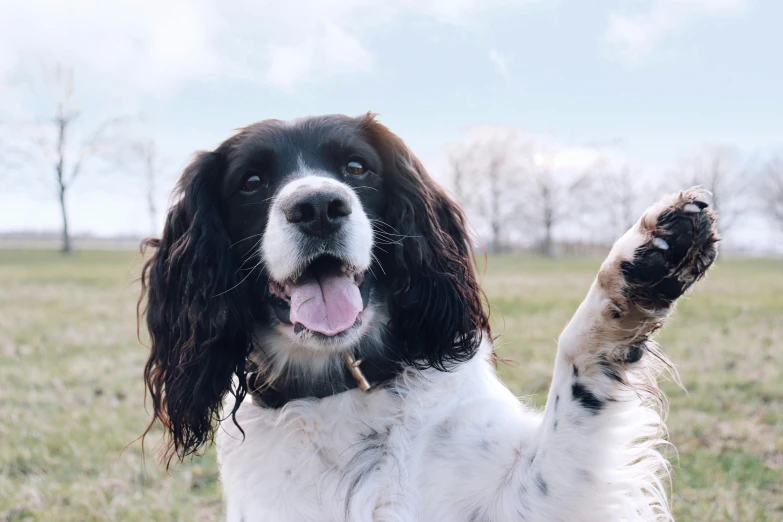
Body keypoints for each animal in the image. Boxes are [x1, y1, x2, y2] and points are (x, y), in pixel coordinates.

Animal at [139, 111, 716, 516]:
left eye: (356, 167)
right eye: (252, 182)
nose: (318, 207)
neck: (344, 392)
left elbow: (575, 372)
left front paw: (639, 268)